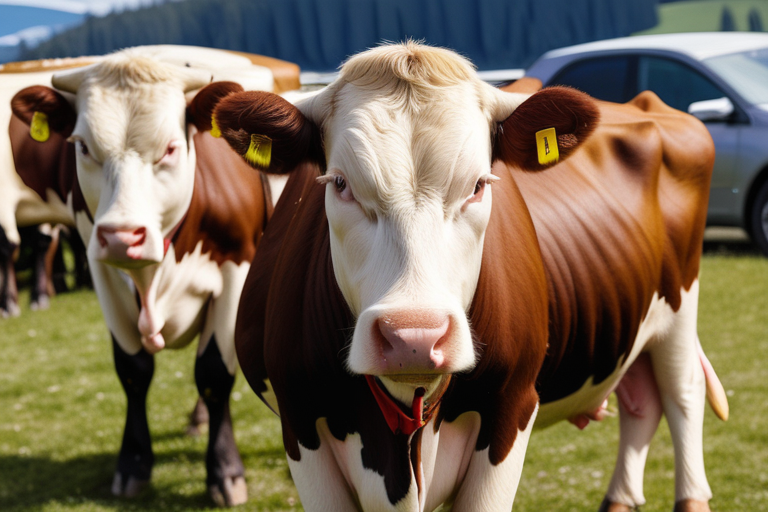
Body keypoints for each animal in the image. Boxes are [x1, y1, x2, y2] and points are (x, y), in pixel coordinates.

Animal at [9, 47, 299, 506]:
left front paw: (224, 471)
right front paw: (133, 464)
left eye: (171, 147)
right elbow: (133, 370)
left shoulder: (236, 270)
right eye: (83, 146)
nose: (121, 236)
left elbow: (214, 371)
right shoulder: (104, 276)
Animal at [213, 42, 727, 511]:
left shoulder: (511, 411)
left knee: (682, 397)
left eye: (479, 184)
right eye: (340, 184)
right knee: (641, 403)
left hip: (680, 308)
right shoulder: (300, 424)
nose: (414, 338)